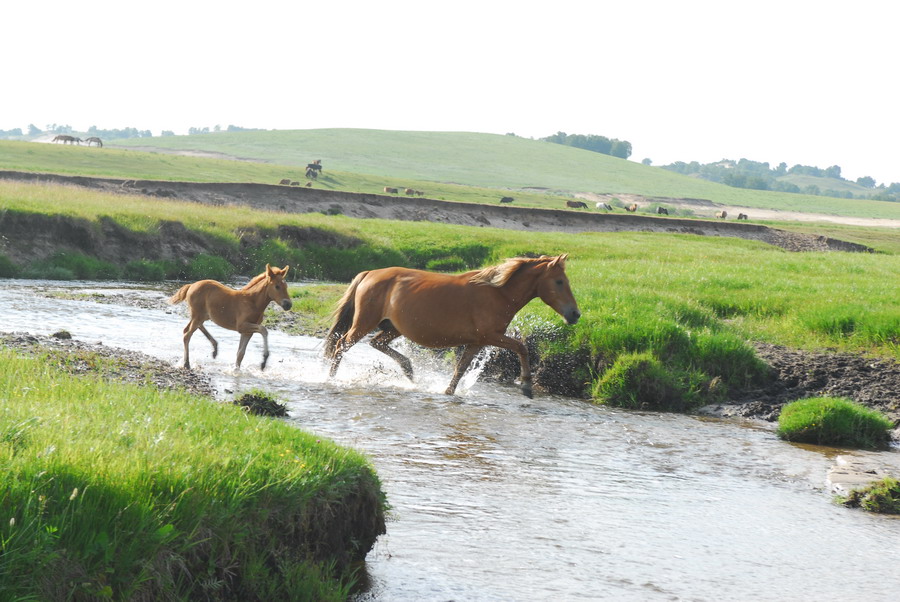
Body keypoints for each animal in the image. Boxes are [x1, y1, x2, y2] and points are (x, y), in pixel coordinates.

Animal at [326, 254, 580, 398]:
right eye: (559, 282)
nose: (575, 314)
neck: (498, 293)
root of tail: (369, 273)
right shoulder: (491, 336)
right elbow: (522, 347)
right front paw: (526, 386)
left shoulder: (477, 342)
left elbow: (460, 369)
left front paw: (448, 392)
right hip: (364, 323)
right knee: (341, 346)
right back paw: (330, 379)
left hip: (392, 327)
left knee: (376, 343)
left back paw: (409, 371)